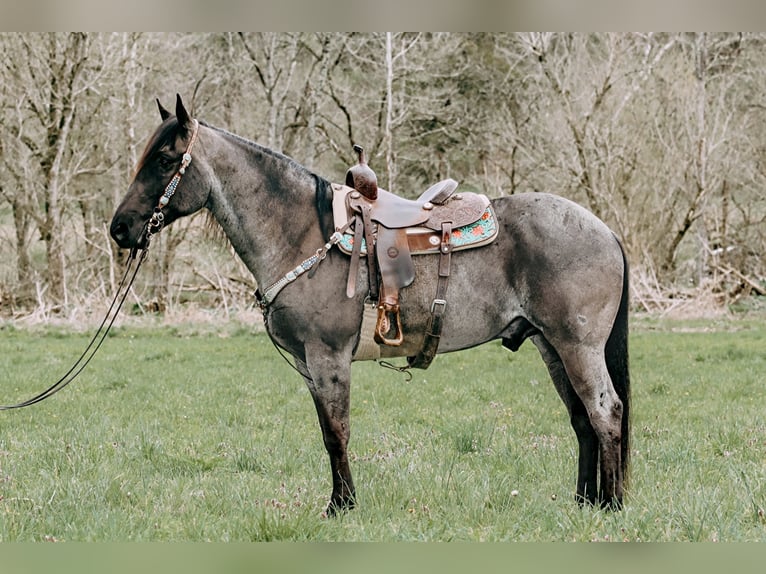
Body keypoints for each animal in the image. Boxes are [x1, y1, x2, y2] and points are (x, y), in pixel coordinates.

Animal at [111, 95, 632, 516]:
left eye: (164, 159)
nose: (120, 228)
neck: (305, 232)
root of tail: (604, 229)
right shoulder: (310, 367)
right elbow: (328, 433)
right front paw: (341, 501)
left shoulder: (328, 359)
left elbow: (336, 433)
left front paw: (341, 506)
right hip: (551, 347)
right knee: (582, 419)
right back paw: (584, 501)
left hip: (578, 347)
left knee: (605, 412)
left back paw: (611, 505)